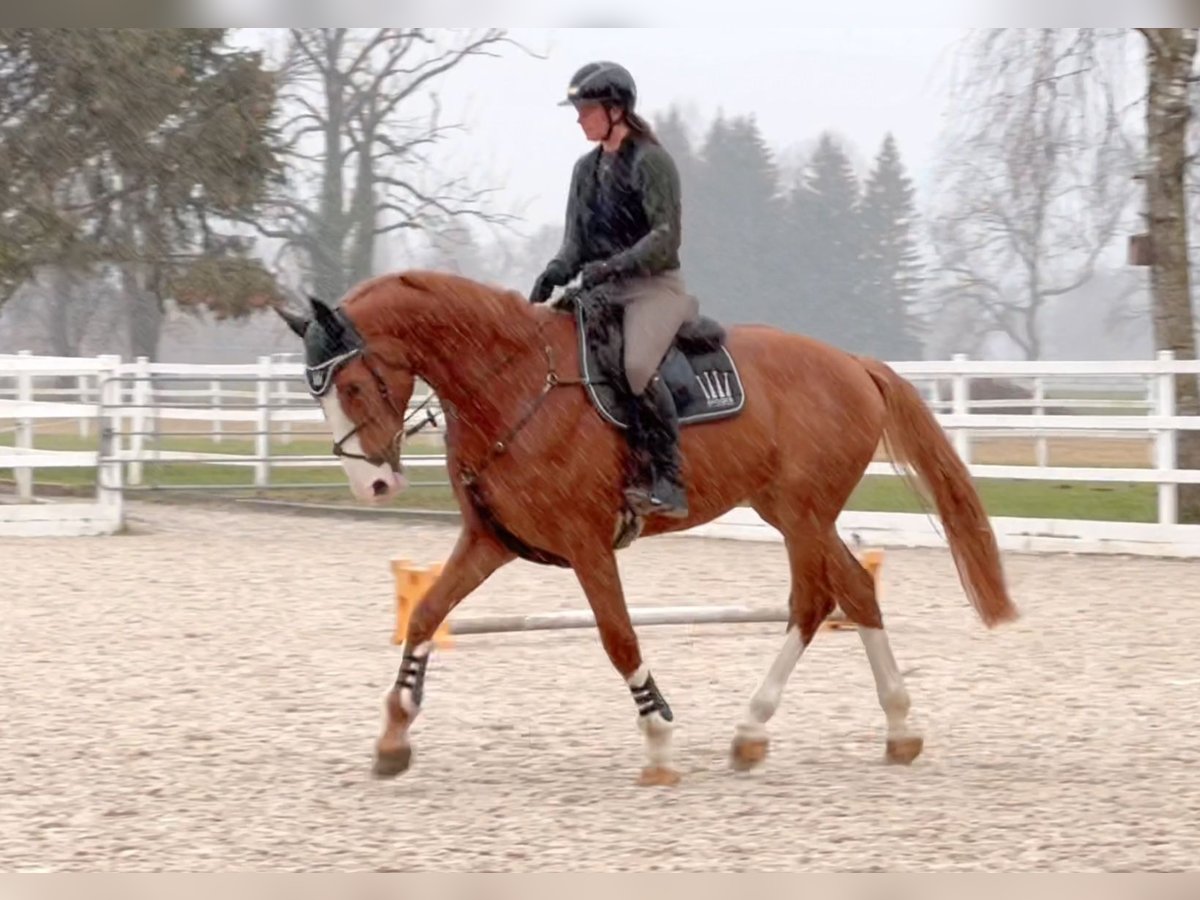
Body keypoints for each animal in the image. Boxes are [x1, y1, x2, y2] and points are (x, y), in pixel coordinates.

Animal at [276, 270, 1017, 787]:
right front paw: (394, 736)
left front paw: (658, 740)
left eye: (353, 388)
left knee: (813, 601)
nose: (372, 486)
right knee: (856, 592)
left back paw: (754, 728)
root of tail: (853, 364)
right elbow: (427, 612)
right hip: (788, 511)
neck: (514, 383)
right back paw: (895, 728)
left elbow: (619, 637)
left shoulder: (586, 544)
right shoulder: (488, 543)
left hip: (803, 513)